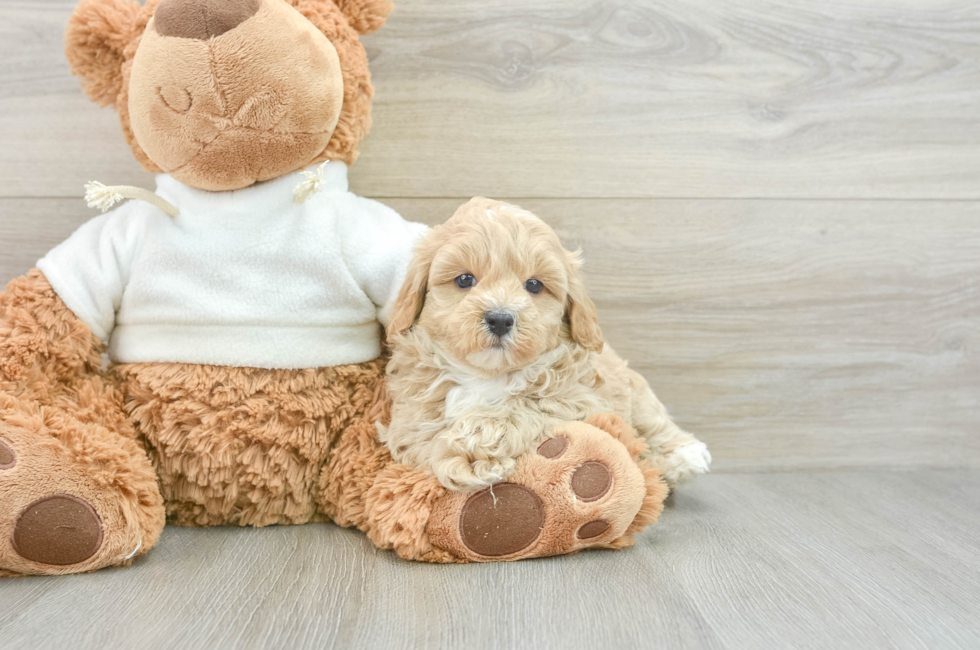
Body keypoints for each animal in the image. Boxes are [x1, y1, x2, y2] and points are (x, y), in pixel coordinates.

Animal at [378, 195, 708, 488]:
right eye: (464, 280)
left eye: (534, 285)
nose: (500, 318)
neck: (489, 375)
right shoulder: (411, 420)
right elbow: (424, 437)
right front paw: (464, 457)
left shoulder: (583, 400)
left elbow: (527, 404)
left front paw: (477, 440)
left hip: (636, 393)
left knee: (654, 424)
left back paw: (684, 457)